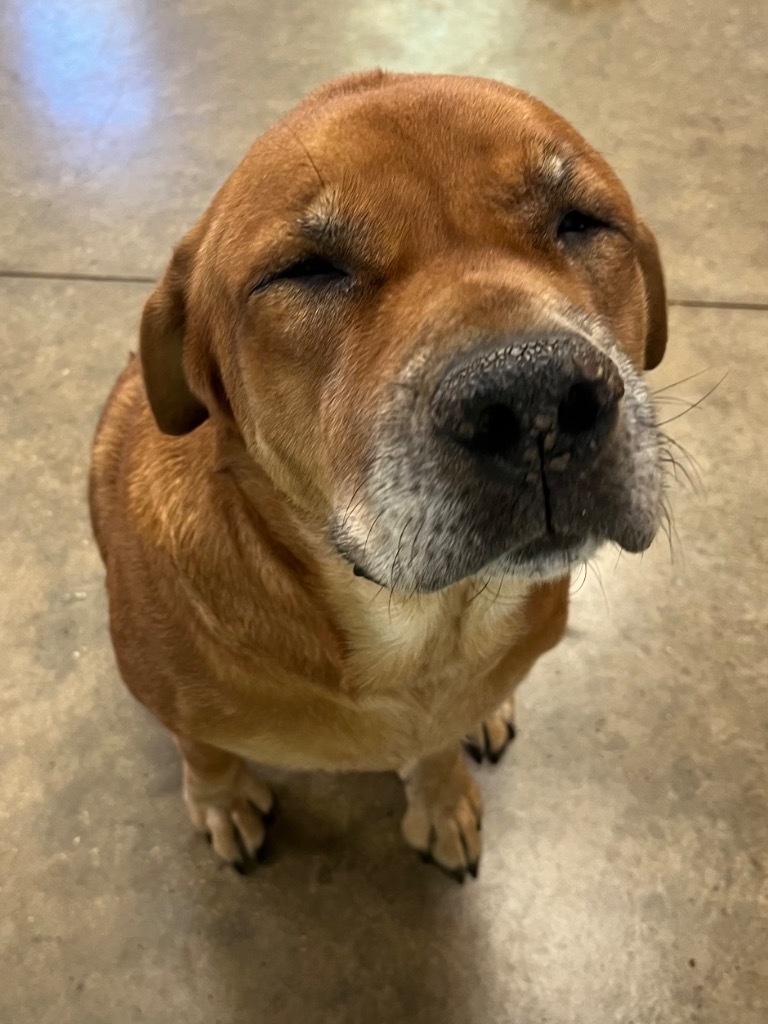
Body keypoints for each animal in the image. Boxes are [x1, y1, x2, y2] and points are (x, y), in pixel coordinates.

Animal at [88, 70, 667, 880]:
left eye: (581, 222)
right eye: (306, 270)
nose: (537, 398)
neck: (419, 632)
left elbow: (438, 743)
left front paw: (443, 797)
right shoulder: (170, 699)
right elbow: (204, 751)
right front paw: (223, 801)